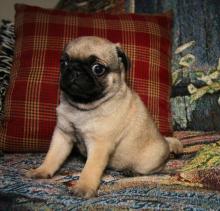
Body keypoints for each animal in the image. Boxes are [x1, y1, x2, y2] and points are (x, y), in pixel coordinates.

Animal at [26, 35, 183, 198]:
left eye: (98, 69)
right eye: (64, 63)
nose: (75, 70)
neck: (82, 108)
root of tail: (165, 141)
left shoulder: (99, 145)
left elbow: (90, 169)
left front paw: (84, 187)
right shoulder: (62, 136)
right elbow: (52, 156)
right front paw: (42, 171)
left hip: (149, 160)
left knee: (155, 169)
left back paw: (132, 171)